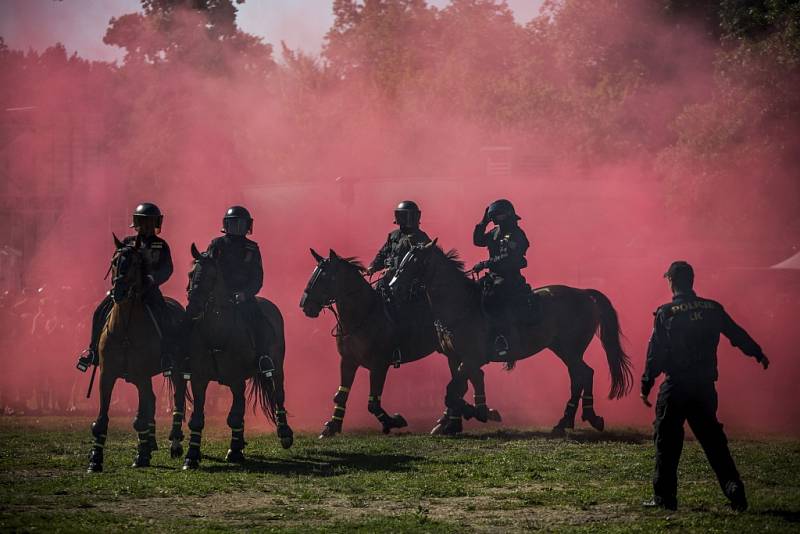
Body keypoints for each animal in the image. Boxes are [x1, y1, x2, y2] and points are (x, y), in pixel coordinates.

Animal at [86, 234, 191, 474]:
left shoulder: (142, 375)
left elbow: (141, 418)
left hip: (176, 372)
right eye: (114, 261)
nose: (118, 291)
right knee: (151, 401)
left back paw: (175, 443)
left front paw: (141, 455)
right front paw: (95, 459)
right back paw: (150, 443)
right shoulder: (107, 376)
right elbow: (102, 419)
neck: (125, 328)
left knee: (177, 400)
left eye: (134, 263)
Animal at [182, 245, 294, 472]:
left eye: (211, 276)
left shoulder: (236, 380)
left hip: (277, 368)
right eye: (191, 274)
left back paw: (284, 432)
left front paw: (233, 451)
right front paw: (192, 455)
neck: (216, 332)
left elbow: (234, 416)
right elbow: (197, 418)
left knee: (278, 395)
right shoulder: (199, 380)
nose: (193, 308)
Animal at [300, 248, 500, 440]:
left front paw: (394, 421)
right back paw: (459, 419)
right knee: (471, 377)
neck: (364, 314)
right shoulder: (348, 362)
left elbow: (373, 403)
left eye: (325, 276)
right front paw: (331, 427)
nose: (305, 305)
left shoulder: (379, 365)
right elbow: (340, 395)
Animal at [390, 242, 636, 436]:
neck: (461, 306)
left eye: (415, 260)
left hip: (570, 349)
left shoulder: (471, 358)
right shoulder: (455, 358)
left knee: (583, 374)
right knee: (581, 375)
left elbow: (453, 391)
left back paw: (582, 418)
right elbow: (462, 387)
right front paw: (461, 419)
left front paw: (478, 413)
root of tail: (584, 293)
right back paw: (569, 420)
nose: (393, 286)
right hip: (563, 350)